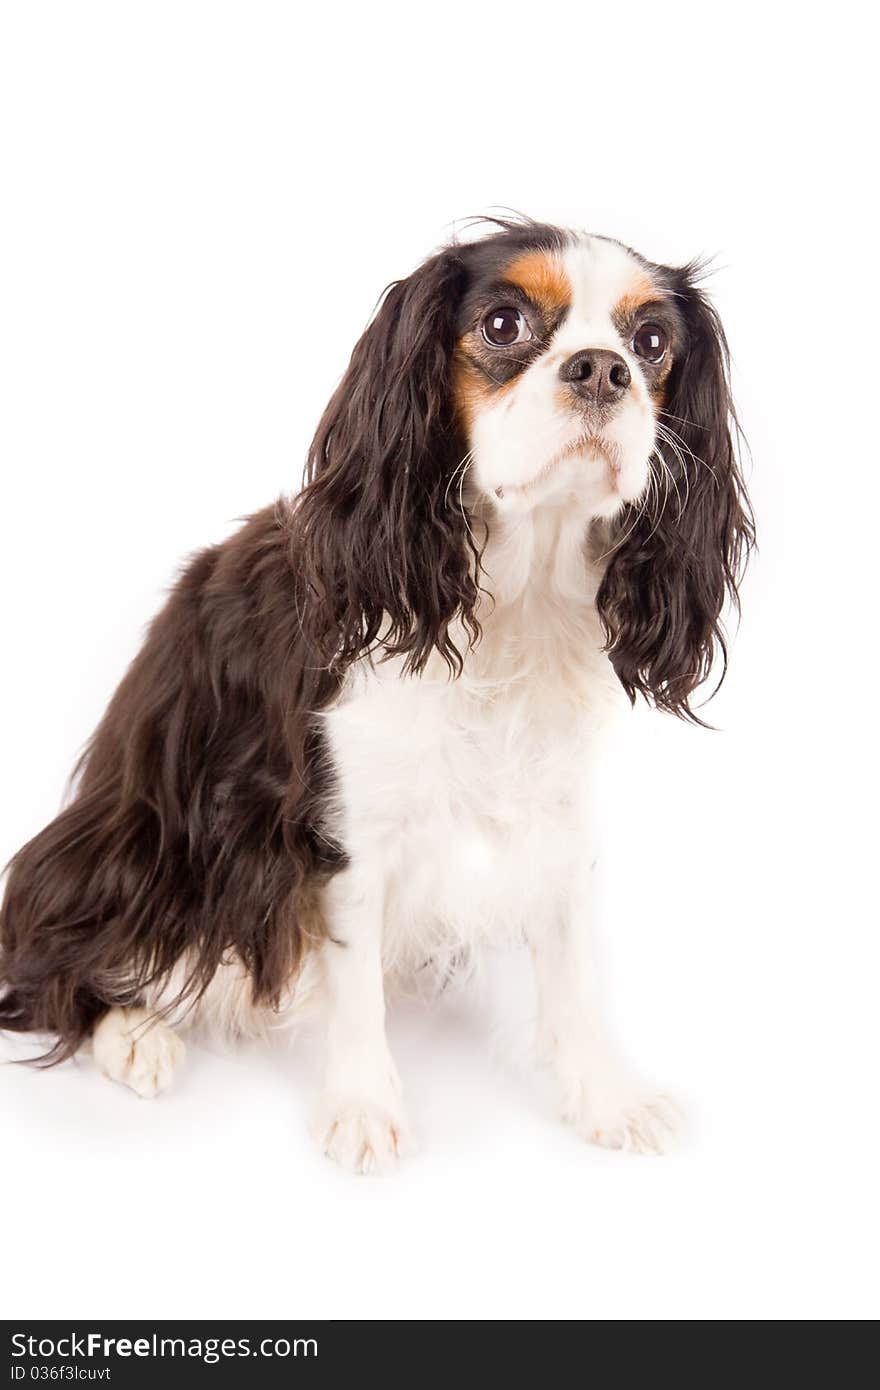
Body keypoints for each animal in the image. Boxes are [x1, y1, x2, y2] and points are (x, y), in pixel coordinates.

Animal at [1, 216, 756, 1173]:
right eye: (504, 324)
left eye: (652, 342)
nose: (601, 368)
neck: (516, 593)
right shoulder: (345, 830)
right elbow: (354, 977)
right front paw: (364, 1106)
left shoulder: (555, 808)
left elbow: (570, 960)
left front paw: (603, 1094)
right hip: (141, 849)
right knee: (53, 962)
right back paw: (135, 1035)